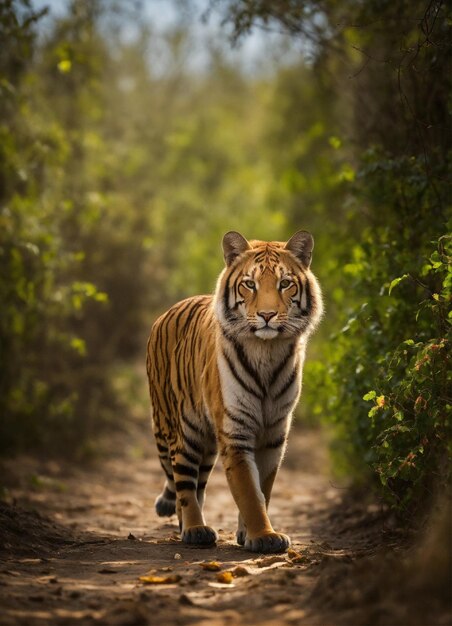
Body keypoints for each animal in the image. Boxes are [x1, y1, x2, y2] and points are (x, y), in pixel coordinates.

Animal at [147, 229, 324, 552]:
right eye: (249, 284)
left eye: (285, 283)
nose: (267, 315)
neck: (267, 352)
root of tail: (166, 313)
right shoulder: (236, 432)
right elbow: (248, 492)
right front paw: (264, 537)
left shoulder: (273, 434)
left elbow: (263, 488)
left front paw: (249, 534)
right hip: (182, 429)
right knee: (183, 483)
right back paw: (195, 529)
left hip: (206, 443)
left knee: (197, 484)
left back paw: (189, 527)